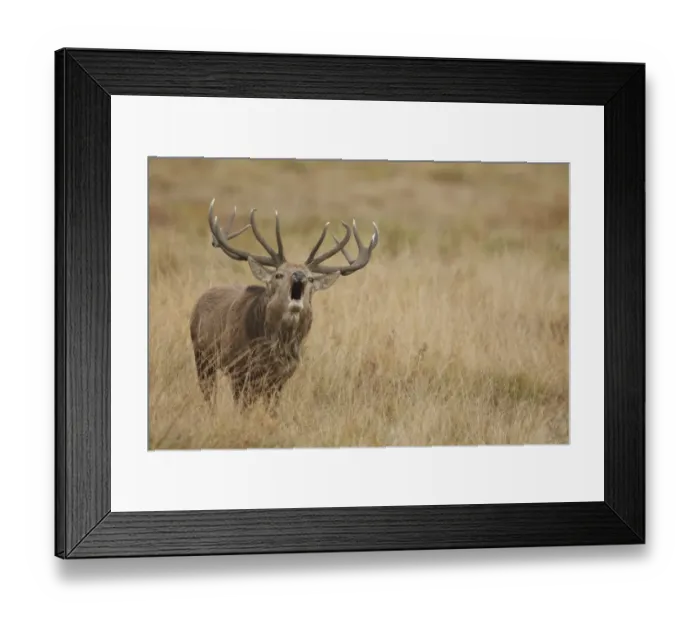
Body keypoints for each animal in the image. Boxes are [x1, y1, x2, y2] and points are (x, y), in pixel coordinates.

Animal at [189, 198, 379, 412]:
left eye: (311, 278)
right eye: (279, 274)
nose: (299, 275)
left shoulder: (281, 377)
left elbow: (272, 409)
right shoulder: (238, 369)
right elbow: (242, 408)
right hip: (202, 357)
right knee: (208, 394)